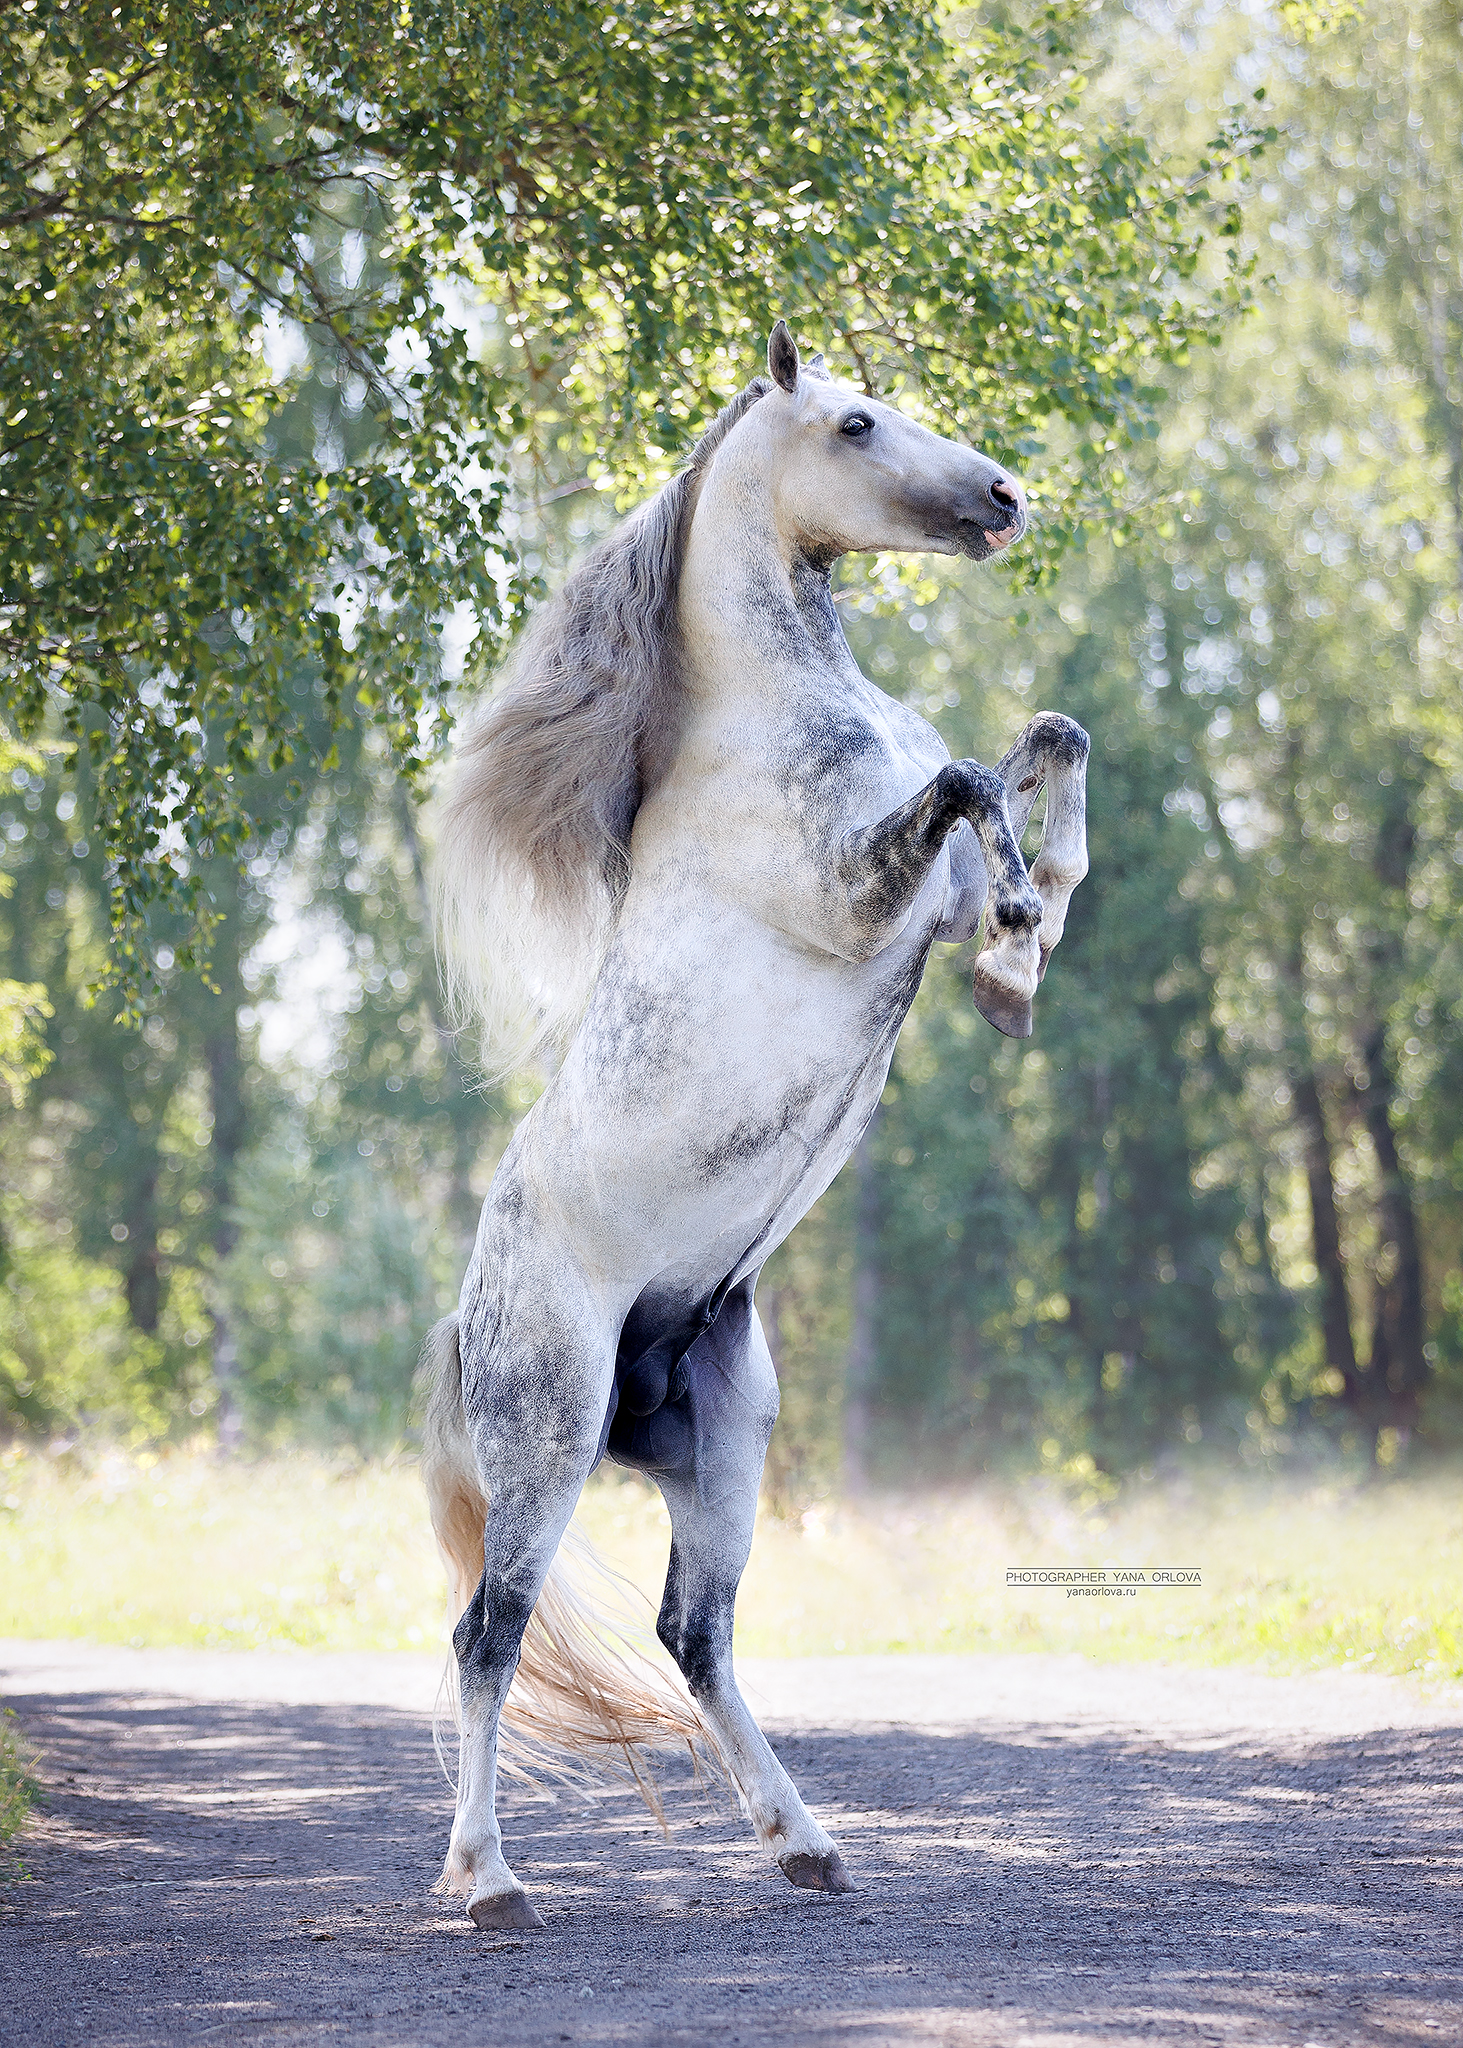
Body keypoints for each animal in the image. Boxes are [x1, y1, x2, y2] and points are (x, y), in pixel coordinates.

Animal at [418, 323, 1081, 1933]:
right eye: (853, 422)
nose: (1001, 496)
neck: (772, 714)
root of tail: (473, 1313)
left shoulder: (919, 900)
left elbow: (1043, 749)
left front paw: (1020, 954)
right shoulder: (860, 899)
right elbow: (973, 781)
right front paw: (1017, 937)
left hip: (723, 1443)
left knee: (692, 1632)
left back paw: (803, 1841)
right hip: (547, 1442)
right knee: (488, 1632)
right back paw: (488, 1880)